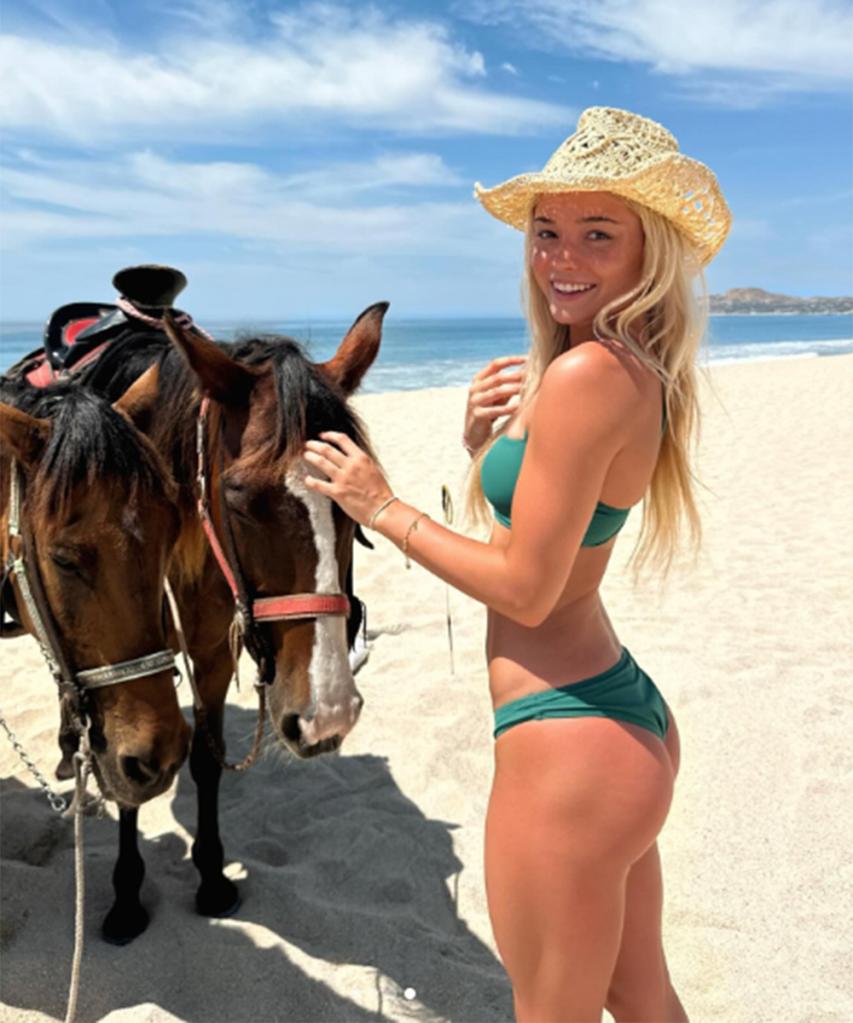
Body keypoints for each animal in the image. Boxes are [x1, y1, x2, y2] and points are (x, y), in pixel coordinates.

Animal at [78, 302, 384, 937]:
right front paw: (126, 897)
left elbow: (206, 755)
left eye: (356, 496)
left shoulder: (213, 649)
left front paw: (213, 877)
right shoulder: (118, 662)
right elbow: (125, 771)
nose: (328, 715)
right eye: (240, 498)